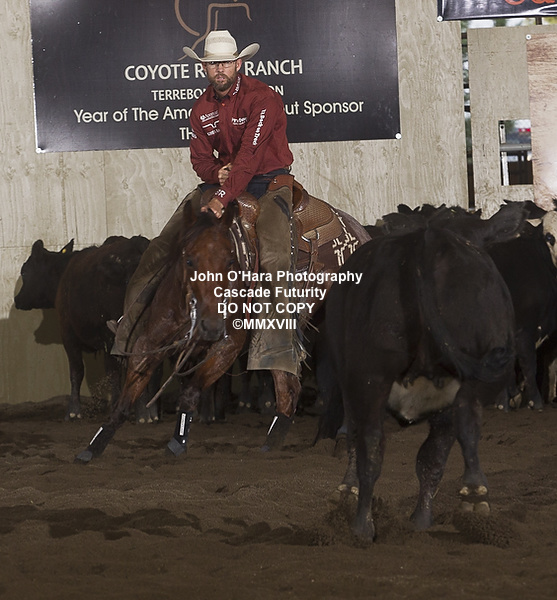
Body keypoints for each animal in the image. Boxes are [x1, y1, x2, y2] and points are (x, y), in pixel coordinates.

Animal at [15, 235, 154, 421]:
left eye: (24, 271)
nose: (17, 299)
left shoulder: (68, 334)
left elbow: (77, 371)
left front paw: (73, 411)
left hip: (114, 333)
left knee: (116, 369)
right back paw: (145, 413)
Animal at [75, 185, 370, 463]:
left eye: (231, 261)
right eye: (189, 260)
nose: (211, 325)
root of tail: (361, 234)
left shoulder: (228, 346)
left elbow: (191, 391)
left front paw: (178, 441)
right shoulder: (150, 341)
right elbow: (126, 398)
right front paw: (93, 446)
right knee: (289, 388)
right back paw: (274, 443)